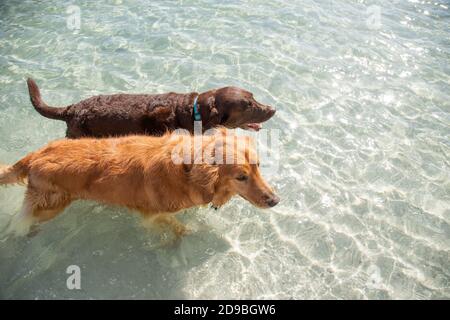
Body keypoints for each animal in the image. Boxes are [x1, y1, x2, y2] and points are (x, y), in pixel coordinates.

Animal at [0, 129, 278, 236]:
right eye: (241, 177)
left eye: (258, 166)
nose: (275, 200)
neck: (186, 170)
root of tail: (35, 155)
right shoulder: (152, 214)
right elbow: (174, 225)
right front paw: (185, 233)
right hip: (52, 205)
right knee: (24, 219)